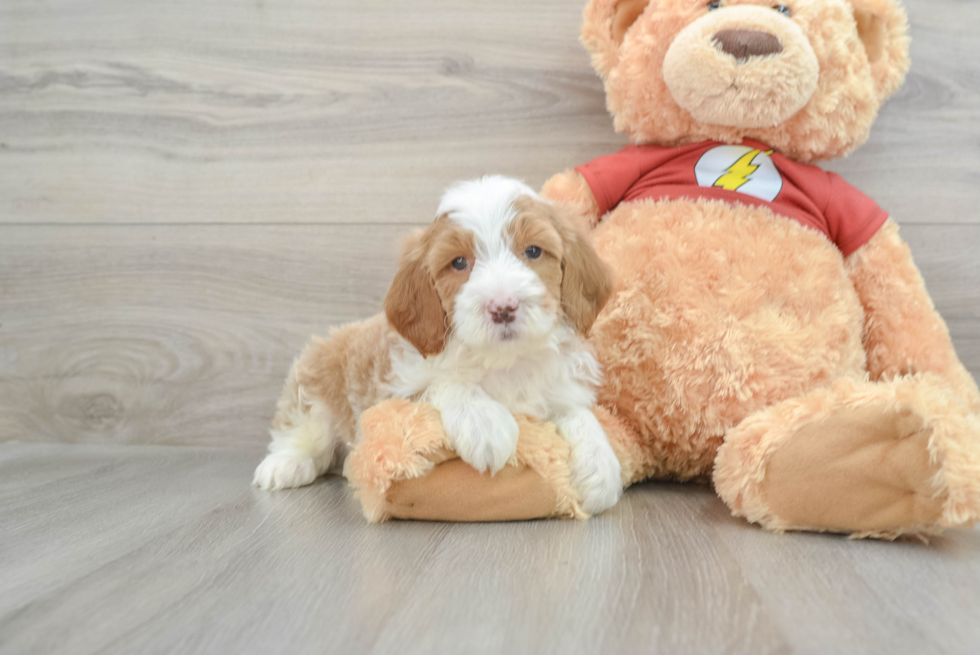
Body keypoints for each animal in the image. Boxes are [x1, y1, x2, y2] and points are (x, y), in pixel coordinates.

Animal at [253, 177, 620, 516]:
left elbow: (578, 413)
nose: (503, 307)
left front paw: (600, 465)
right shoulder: (394, 393)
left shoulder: (559, 387)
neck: (503, 362)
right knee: (300, 428)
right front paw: (484, 422)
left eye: (533, 251)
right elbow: (446, 385)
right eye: (459, 263)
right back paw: (284, 465)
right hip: (317, 373)